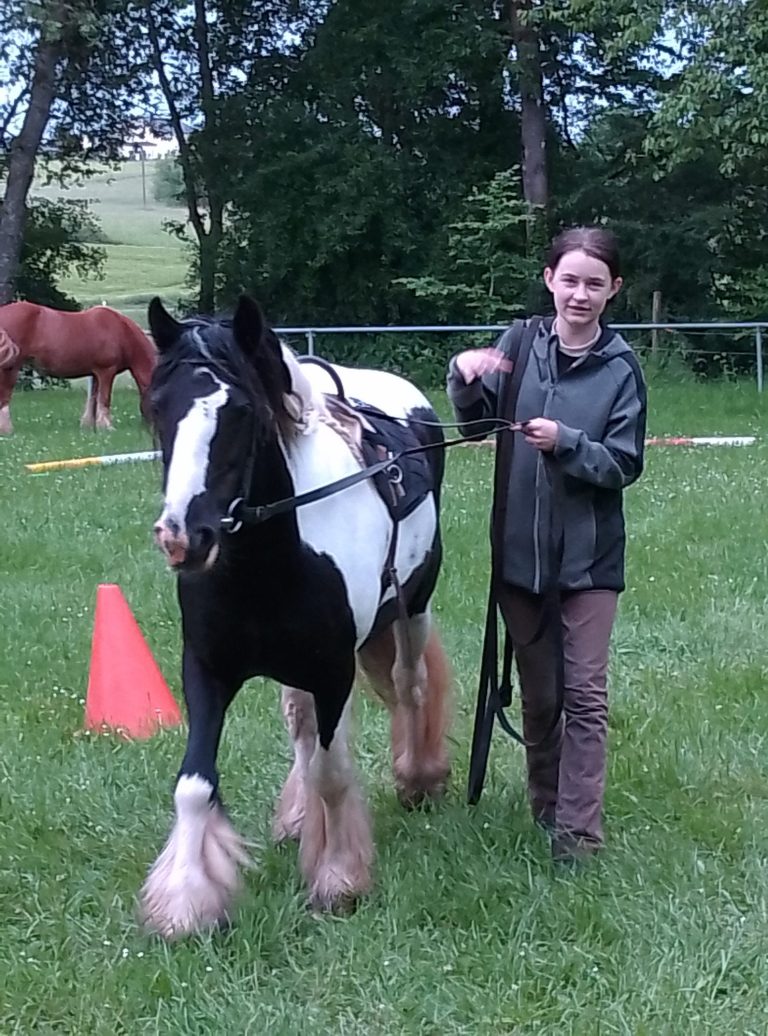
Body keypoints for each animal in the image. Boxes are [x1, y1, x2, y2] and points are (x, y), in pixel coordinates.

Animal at [0, 301, 157, 434]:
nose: (151, 429)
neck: (121, 332)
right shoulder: (106, 371)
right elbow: (104, 399)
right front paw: (106, 427)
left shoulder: (95, 374)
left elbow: (93, 400)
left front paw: (89, 426)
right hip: (11, 368)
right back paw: (8, 431)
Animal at [140, 294, 451, 937]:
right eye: (159, 406)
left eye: (240, 413)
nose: (183, 536)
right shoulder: (206, 670)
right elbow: (194, 785)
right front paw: (186, 900)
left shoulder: (332, 669)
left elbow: (332, 772)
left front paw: (338, 879)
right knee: (304, 727)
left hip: (412, 610)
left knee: (410, 684)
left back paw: (418, 778)